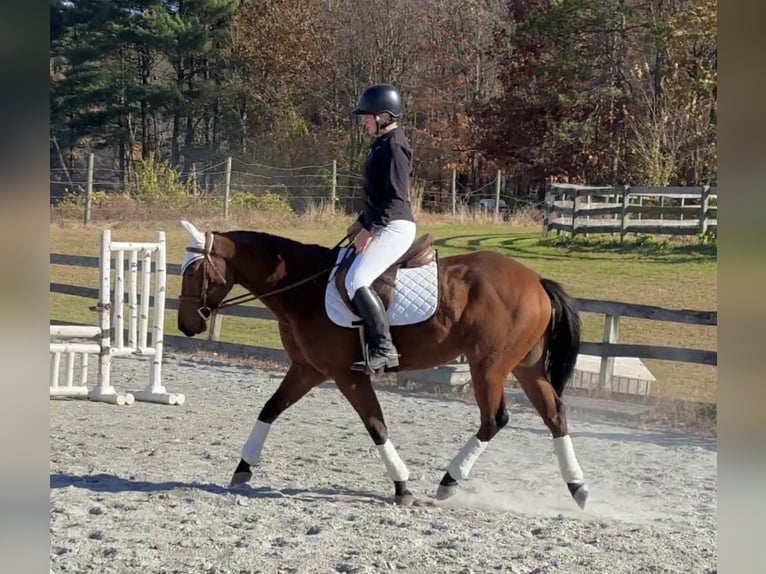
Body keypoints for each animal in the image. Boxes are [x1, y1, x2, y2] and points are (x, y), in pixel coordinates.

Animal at [176, 220, 589, 508]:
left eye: (193, 271)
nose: (186, 326)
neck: (304, 287)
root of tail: (535, 280)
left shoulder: (347, 376)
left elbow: (375, 425)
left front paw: (402, 485)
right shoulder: (308, 370)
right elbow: (270, 409)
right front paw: (243, 468)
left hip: (488, 367)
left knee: (495, 420)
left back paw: (449, 481)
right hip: (526, 367)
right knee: (554, 416)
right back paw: (578, 488)